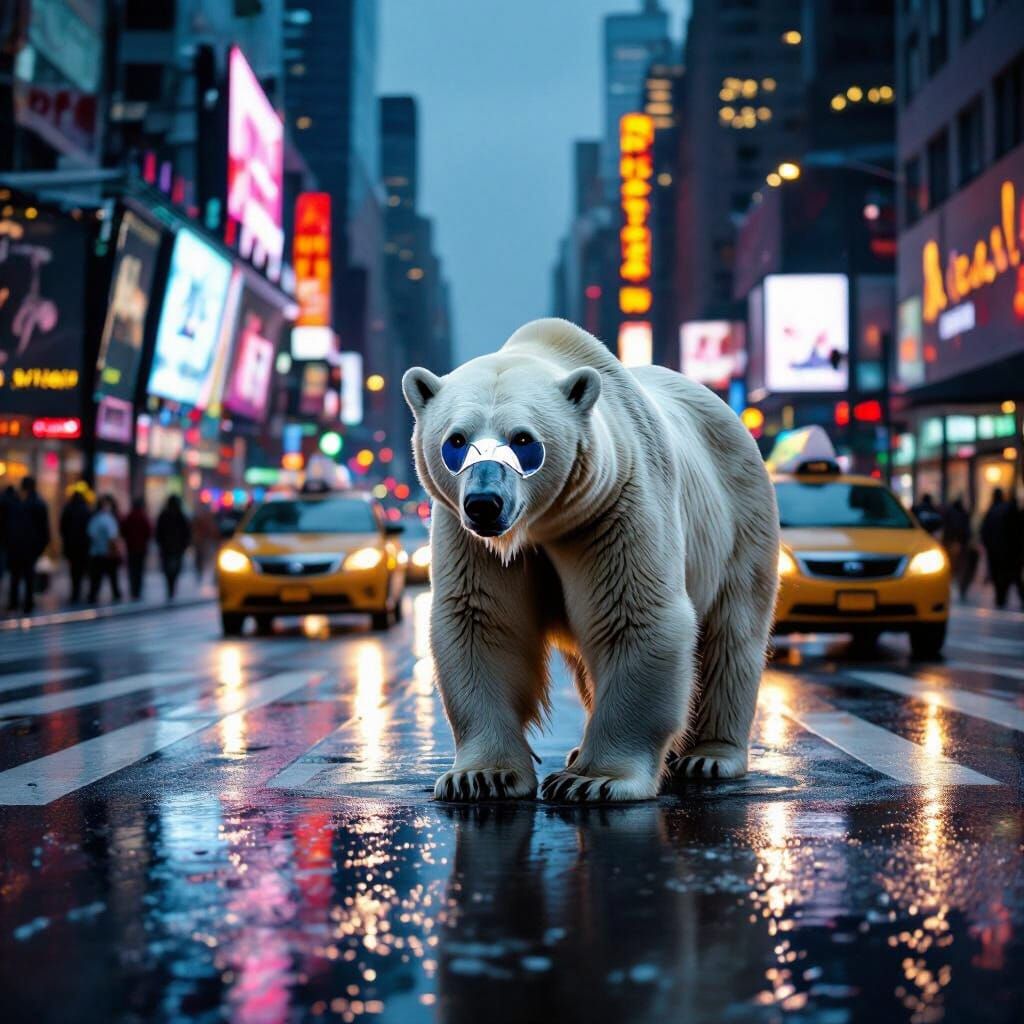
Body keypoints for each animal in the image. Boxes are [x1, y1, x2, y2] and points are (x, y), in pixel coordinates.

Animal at [402, 317, 779, 803]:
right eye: (456, 441)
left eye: (522, 439)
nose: (484, 503)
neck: (543, 523)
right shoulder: (468, 537)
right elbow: (482, 621)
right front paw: (482, 776)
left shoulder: (613, 507)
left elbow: (633, 615)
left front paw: (593, 780)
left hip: (740, 517)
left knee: (731, 634)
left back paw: (709, 756)